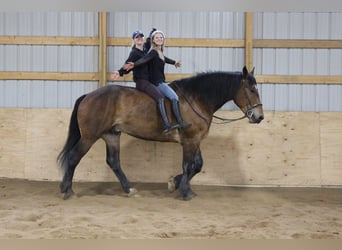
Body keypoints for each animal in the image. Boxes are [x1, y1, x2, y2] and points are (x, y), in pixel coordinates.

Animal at [57, 65, 264, 200]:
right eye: (252, 90)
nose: (259, 117)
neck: (196, 99)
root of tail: (88, 96)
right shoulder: (190, 140)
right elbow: (188, 165)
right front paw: (184, 191)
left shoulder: (195, 139)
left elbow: (197, 165)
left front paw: (175, 183)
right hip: (89, 137)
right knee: (74, 157)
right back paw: (67, 190)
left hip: (111, 135)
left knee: (113, 162)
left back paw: (129, 189)